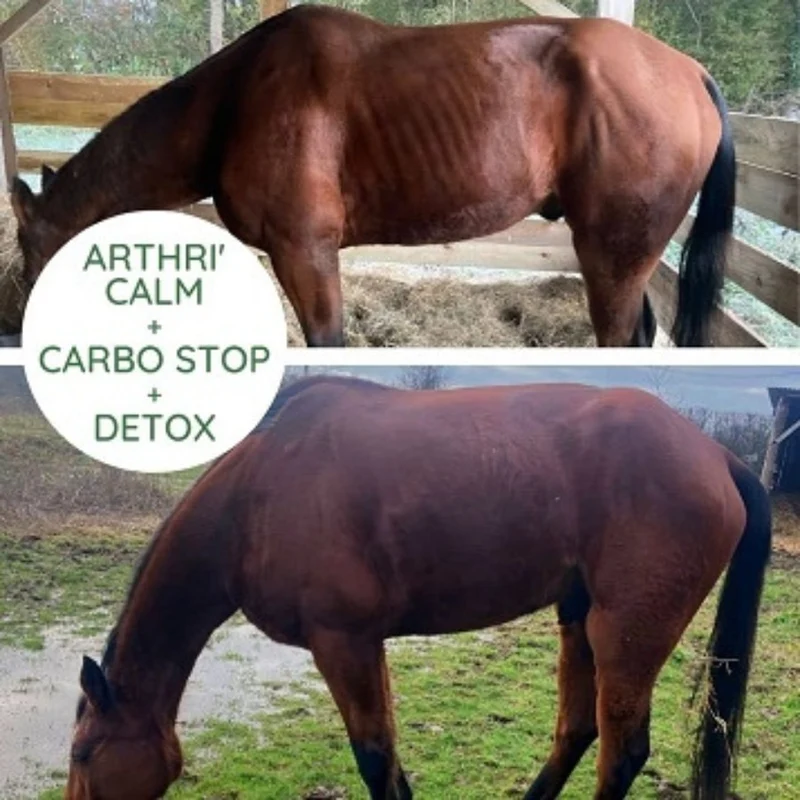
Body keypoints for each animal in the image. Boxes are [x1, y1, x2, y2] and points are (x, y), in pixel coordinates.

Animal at [7, 5, 735, 348]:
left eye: (28, 257)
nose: (15, 328)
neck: (236, 101)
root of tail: (690, 72)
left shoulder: (305, 252)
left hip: (615, 256)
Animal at [66, 376, 770, 800]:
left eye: (82, 754)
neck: (257, 495)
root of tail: (716, 455)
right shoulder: (363, 645)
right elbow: (389, 757)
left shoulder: (343, 642)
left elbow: (376, 759)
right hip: (580, 619)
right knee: (576, 730)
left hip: (627, 635)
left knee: (622, 753)